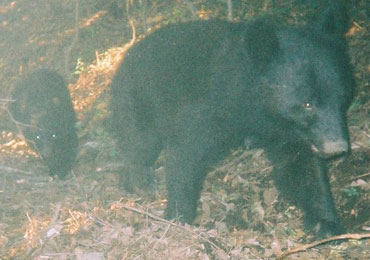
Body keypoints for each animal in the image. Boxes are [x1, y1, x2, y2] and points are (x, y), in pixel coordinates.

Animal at [110, 1, 356, 238]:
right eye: (307, 103)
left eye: (342, 98)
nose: (337, 147)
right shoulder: (209, 107)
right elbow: (185, 154)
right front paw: (178, 216)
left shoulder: (291, 131)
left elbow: (300, 166)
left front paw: (326, 223)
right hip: (139, 98)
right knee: (140, 142)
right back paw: (140, 181)